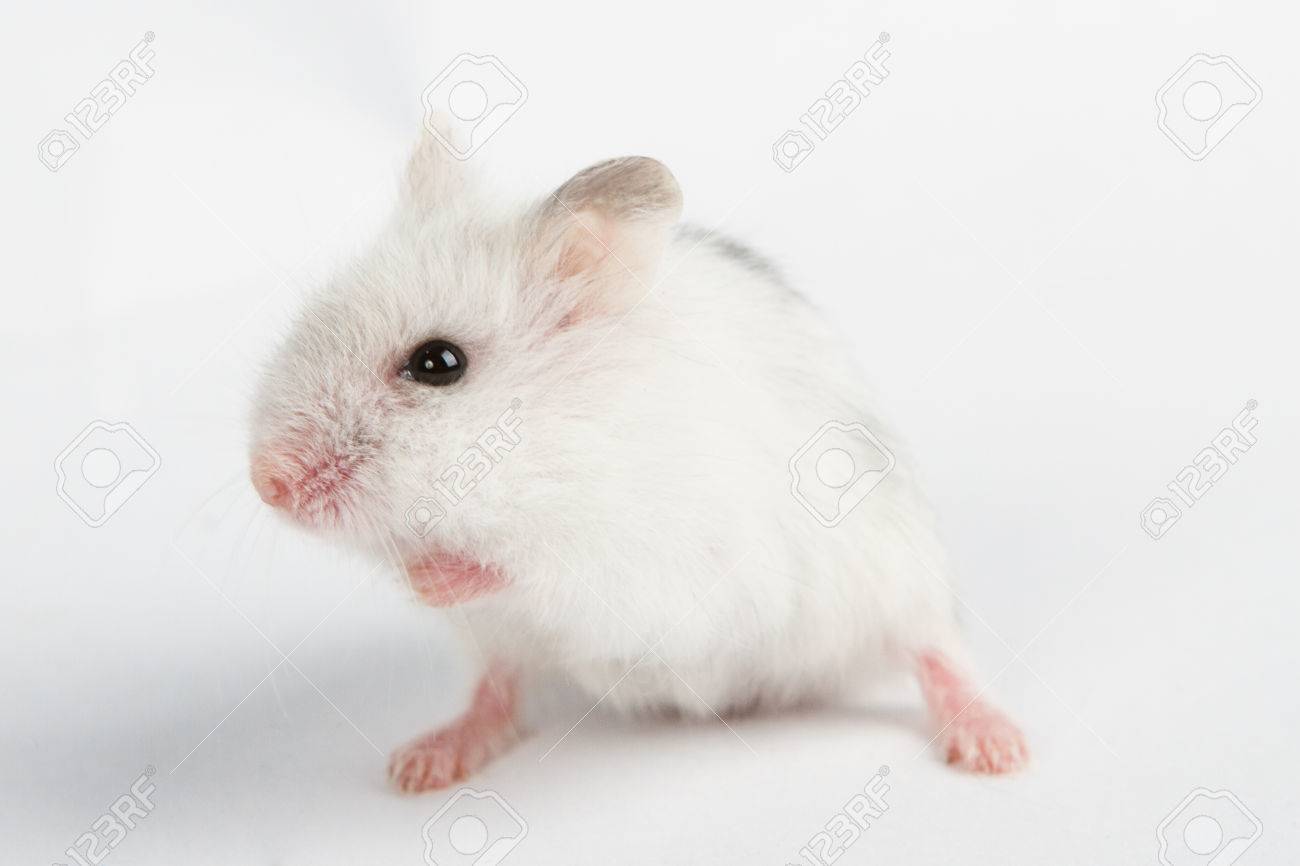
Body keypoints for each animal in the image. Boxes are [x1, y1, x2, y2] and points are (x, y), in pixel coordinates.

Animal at [249, 129, 1028, 792]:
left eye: (438, 363)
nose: (266, 483)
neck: (549, 449)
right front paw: (415, 572)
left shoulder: (650, 557)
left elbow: (534, 567)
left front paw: (429, 577)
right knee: (497, 690)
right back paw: (420, 766)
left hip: (900, 578)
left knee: (935, 649)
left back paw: (999, 751)